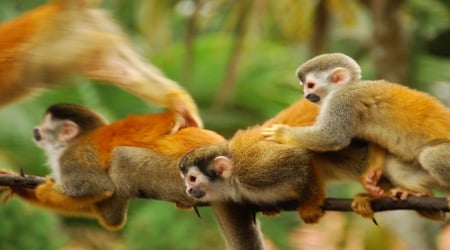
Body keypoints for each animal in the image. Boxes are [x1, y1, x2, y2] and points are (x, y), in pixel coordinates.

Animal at [2, 103, 223, 230]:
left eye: (45, 124)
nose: (35, 130)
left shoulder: (75, 156)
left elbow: (96, 187)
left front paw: (42, 191)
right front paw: (18, 187)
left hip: (182, 179)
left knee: (121, 157)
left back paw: (111, 218)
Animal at [264, 52, 450, 201]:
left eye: (310, 85)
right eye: (304, 87)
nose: (306, 95)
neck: (347, 87)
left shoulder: (343, 101)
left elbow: (331, 137)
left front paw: (282, 133)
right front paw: (369, 175)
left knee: (430, 157)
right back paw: (419, 193)